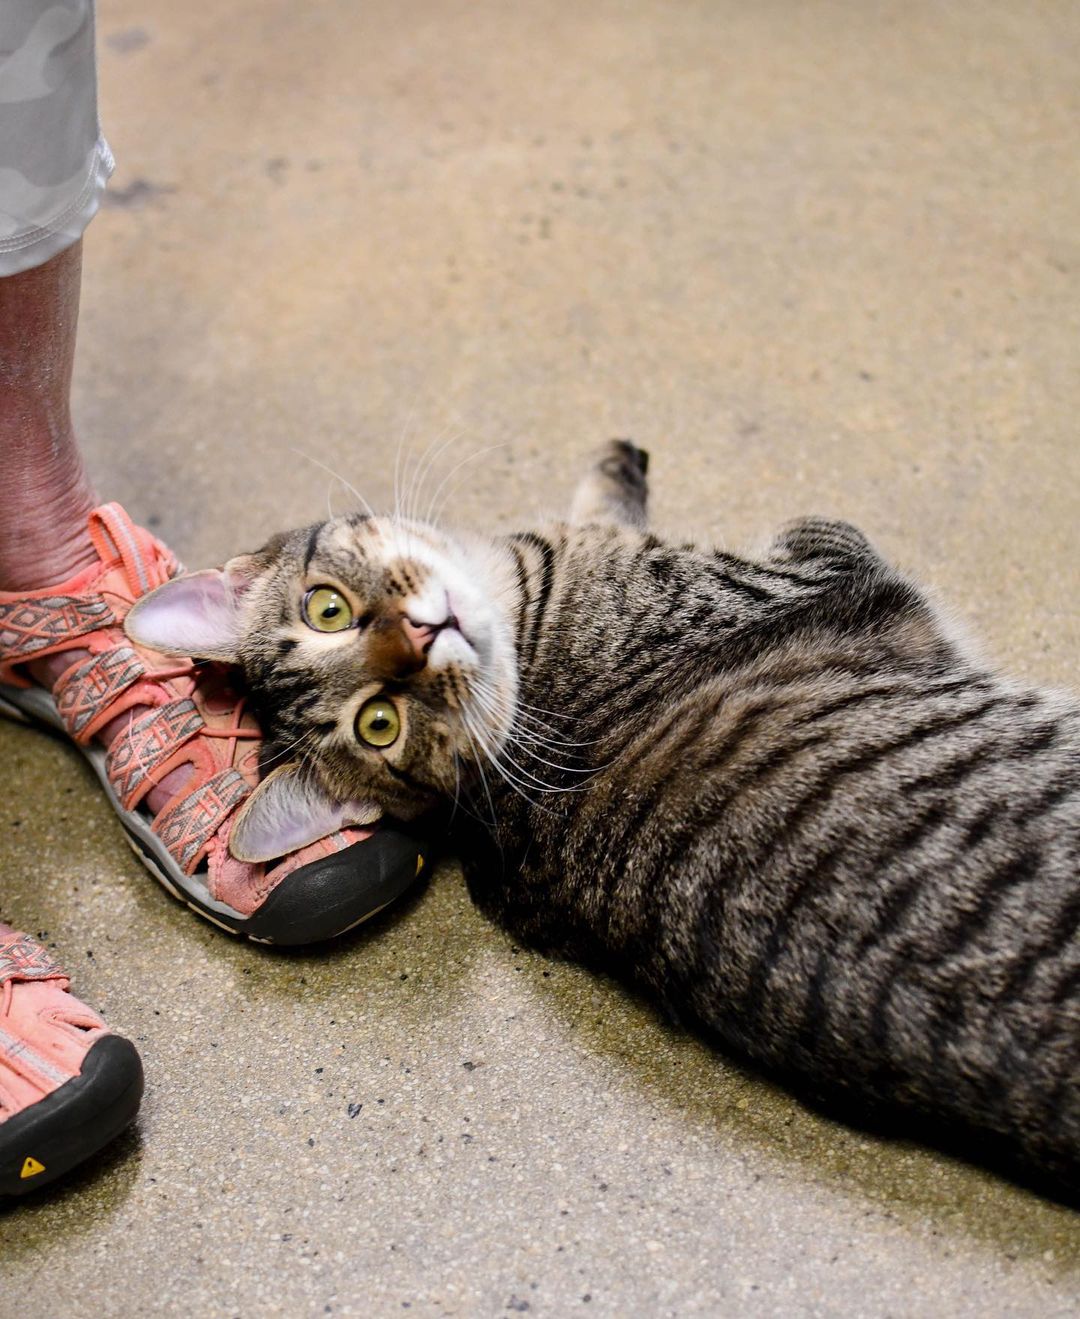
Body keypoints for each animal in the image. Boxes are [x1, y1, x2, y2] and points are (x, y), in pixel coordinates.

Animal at [128, 440, 1080, 1197]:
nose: (421, 637)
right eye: (380, 723)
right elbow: (798, 523)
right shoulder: (821, 564)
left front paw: (612, 473)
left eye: (327, 607)